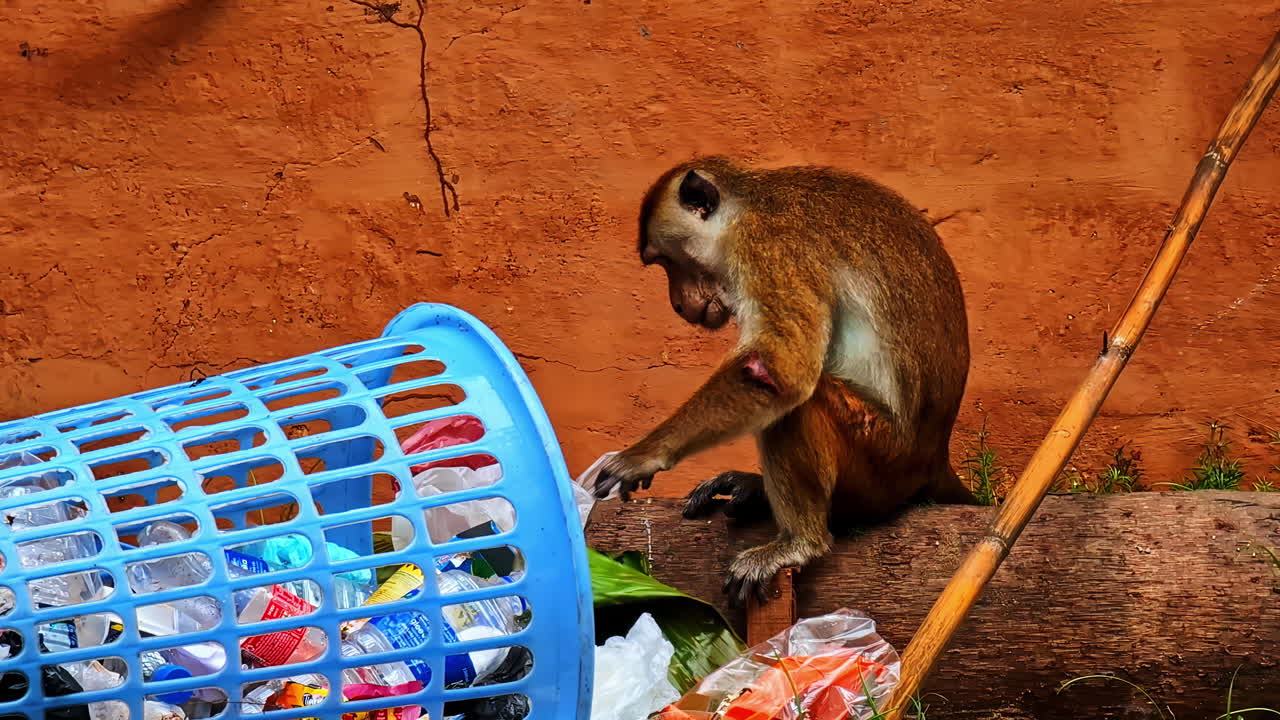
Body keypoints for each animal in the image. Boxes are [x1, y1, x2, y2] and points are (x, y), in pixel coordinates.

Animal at [593, 155, 977, 607]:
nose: (676, 303)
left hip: (881, 459)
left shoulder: (766, 247)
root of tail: (935, 457)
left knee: (798, 406)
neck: (745, 207)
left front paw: (644, 455)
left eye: (667, 261)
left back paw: (801, 542)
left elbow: (778, 371)